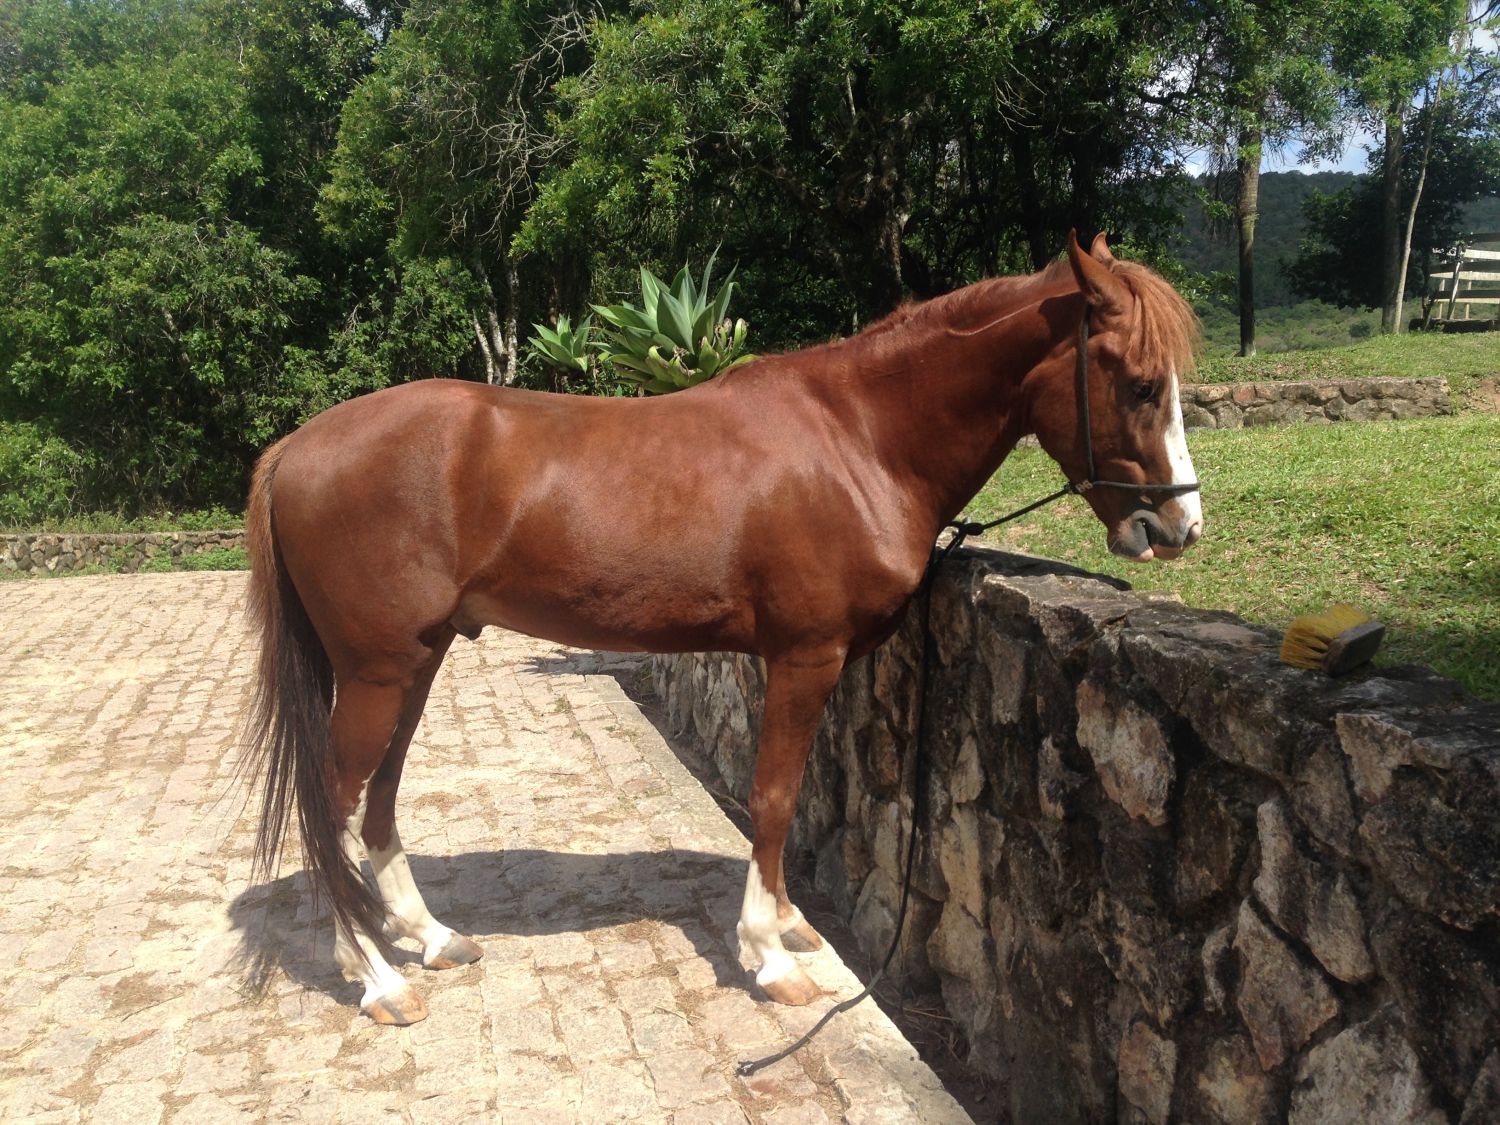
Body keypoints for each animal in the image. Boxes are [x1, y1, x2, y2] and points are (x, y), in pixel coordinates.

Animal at [243, 232, 1203, 1025]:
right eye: (1140, 384)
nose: (1179, 527)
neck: (858, 438)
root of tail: (297, 447)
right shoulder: (804, 656)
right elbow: (773, 795)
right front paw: (769, 956)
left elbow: (794, 791)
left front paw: (788, 923)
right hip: (379, 672)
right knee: (331, 807)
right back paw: (376, 977)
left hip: (416, 662)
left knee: (377, 802)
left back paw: (428, 937)